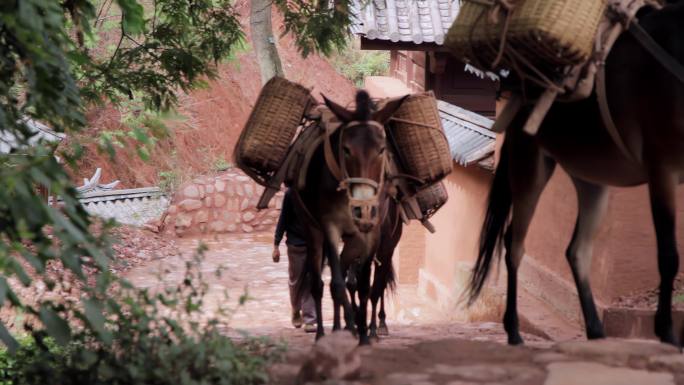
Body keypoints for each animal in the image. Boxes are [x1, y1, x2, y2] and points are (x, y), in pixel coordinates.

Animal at [294, 91, 406, 344]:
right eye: (345, 149)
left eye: (381, 149)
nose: (362, 209)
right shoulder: (330, 227)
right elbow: (338, 283)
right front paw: (347, 326)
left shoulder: (372, 233)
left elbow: (366, 286)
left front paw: (364, 333)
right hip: (313, 231)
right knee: (320, 283)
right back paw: (327, 331)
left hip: (386, 244)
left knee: (377, 283)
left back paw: (374, 326)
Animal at [468, 1, 684, 344]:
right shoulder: (661, 167)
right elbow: (668, 255)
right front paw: (666, 331)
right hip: (529, 164)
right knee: (514, 244)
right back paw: (513, 330)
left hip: (592, 179)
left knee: (577, 250)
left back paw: (595, 330)